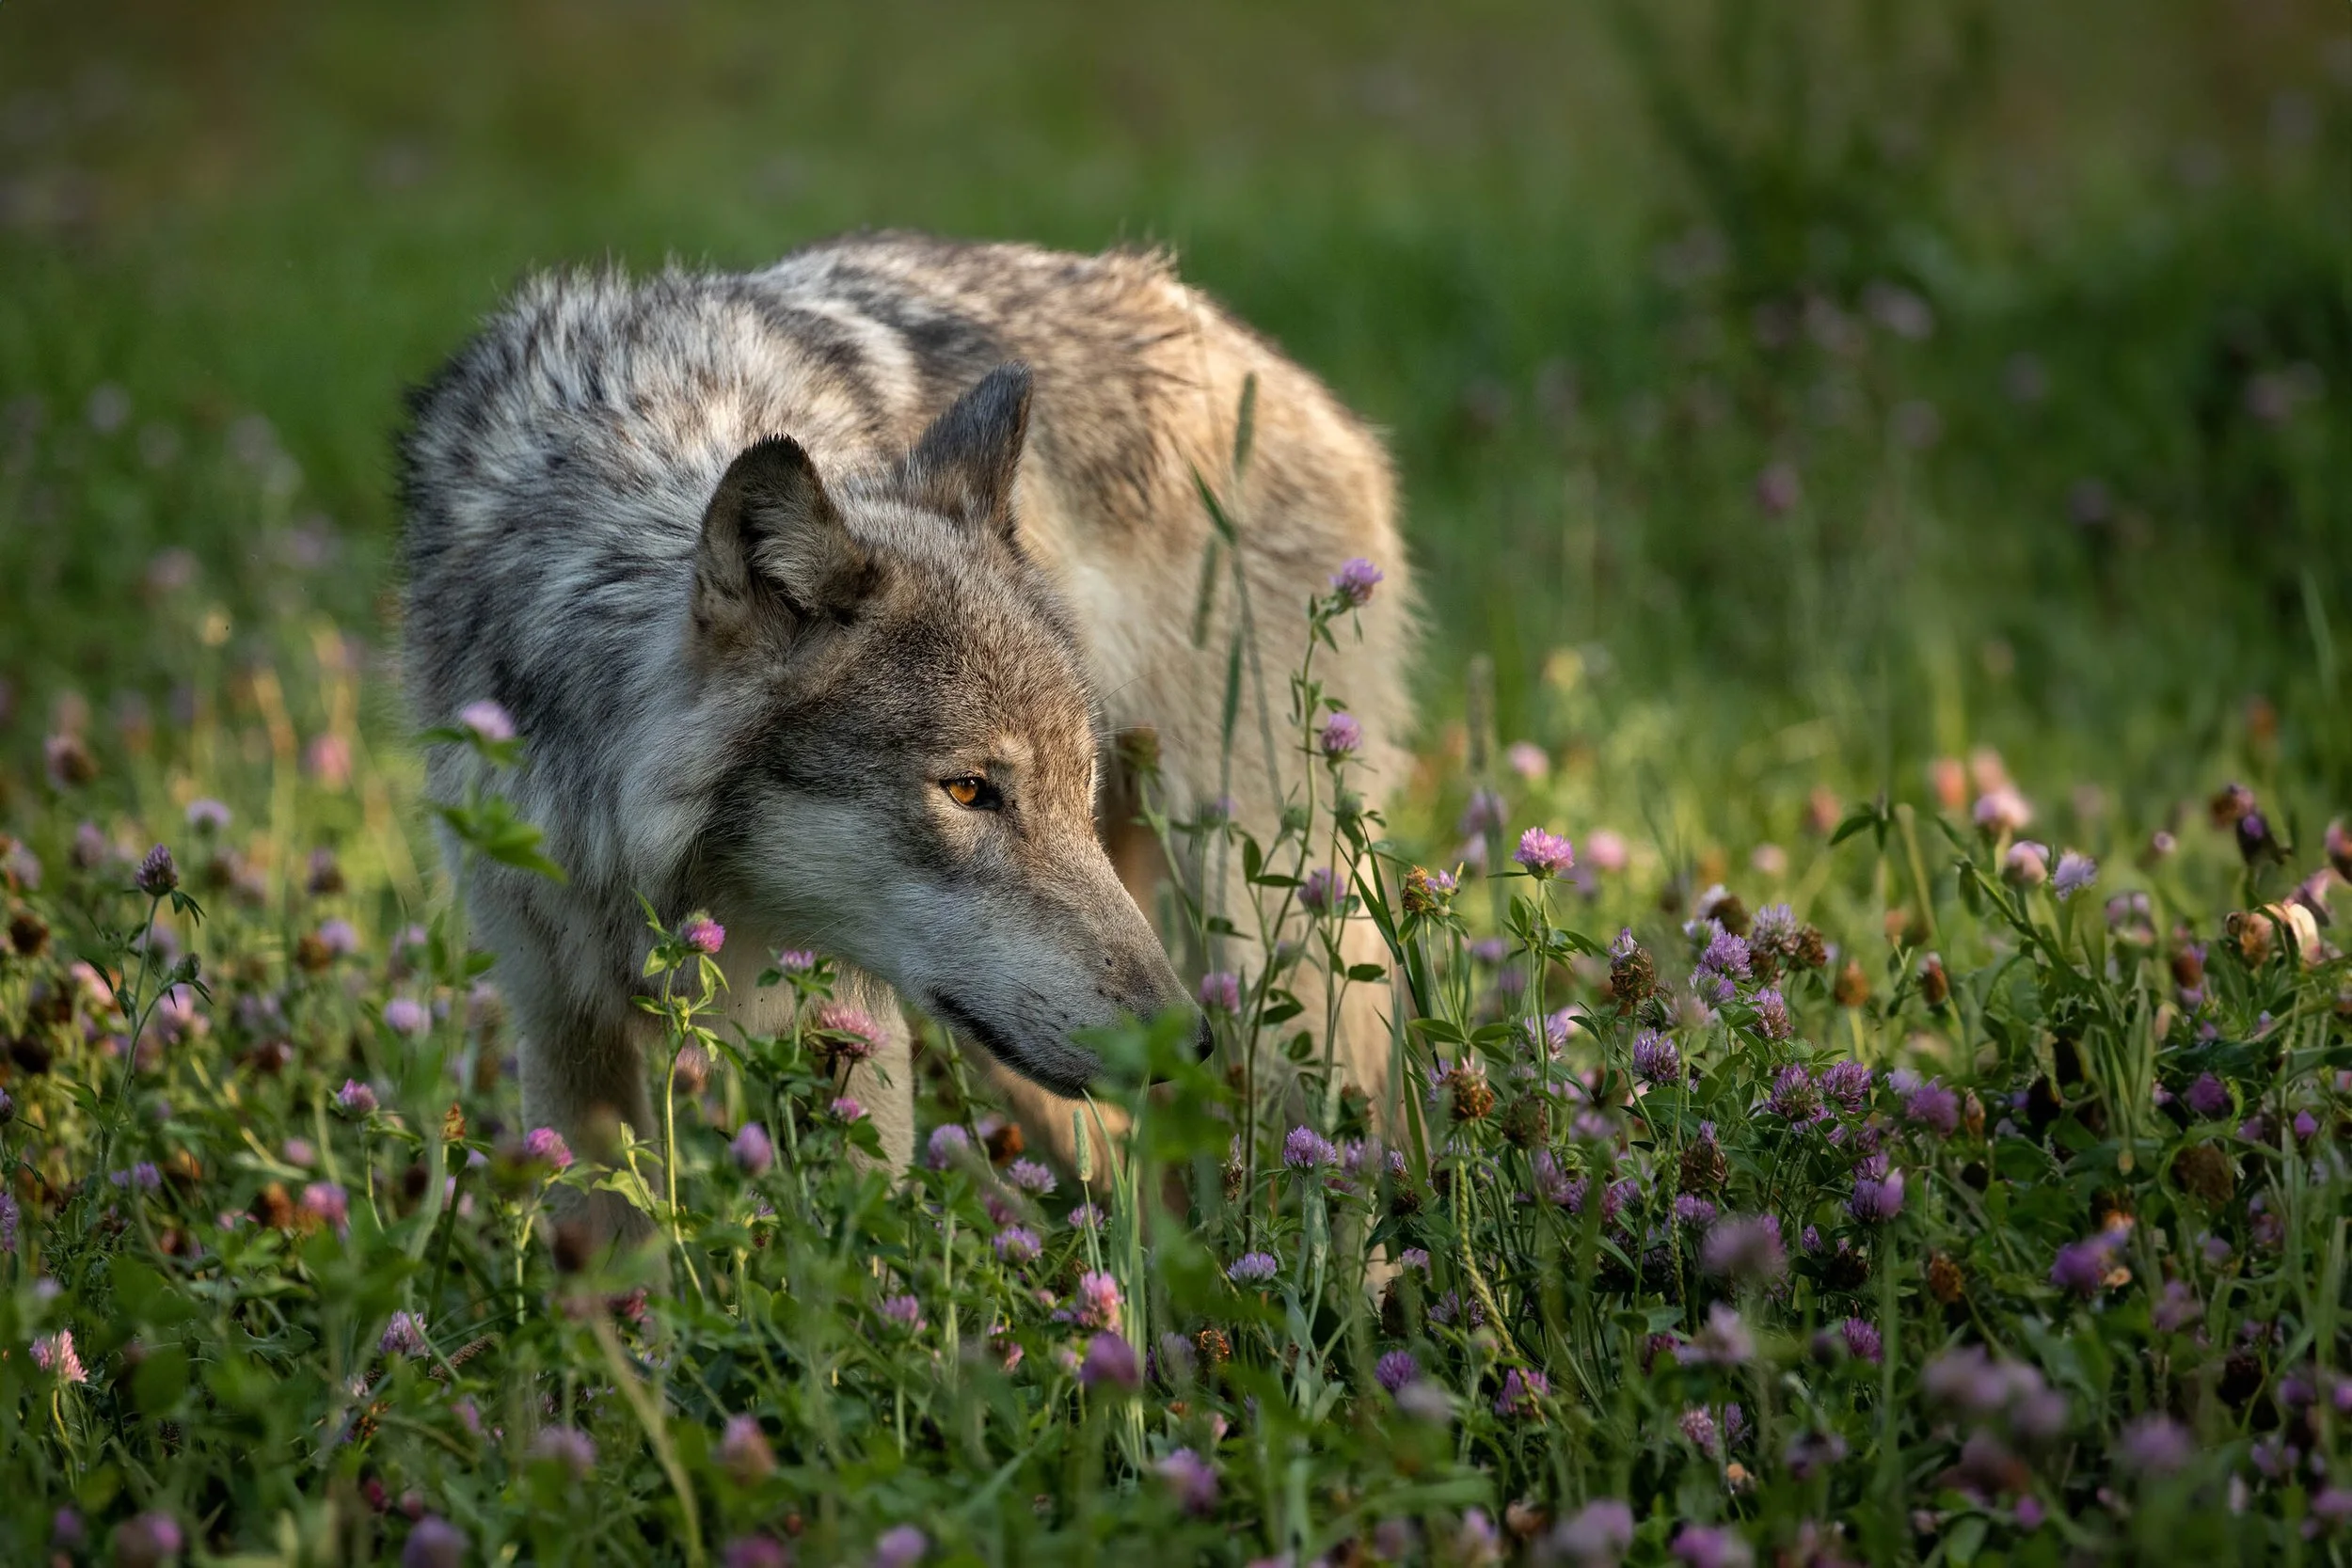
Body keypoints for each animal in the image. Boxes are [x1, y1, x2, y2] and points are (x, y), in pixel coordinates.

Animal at [400, 233, 1409, 1228]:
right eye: (969, 791)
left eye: (1072, 790)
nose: (1183, 1042)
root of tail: (1266, 364)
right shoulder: (556, 1020)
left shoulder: (856, 1032)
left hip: (1267, 946)